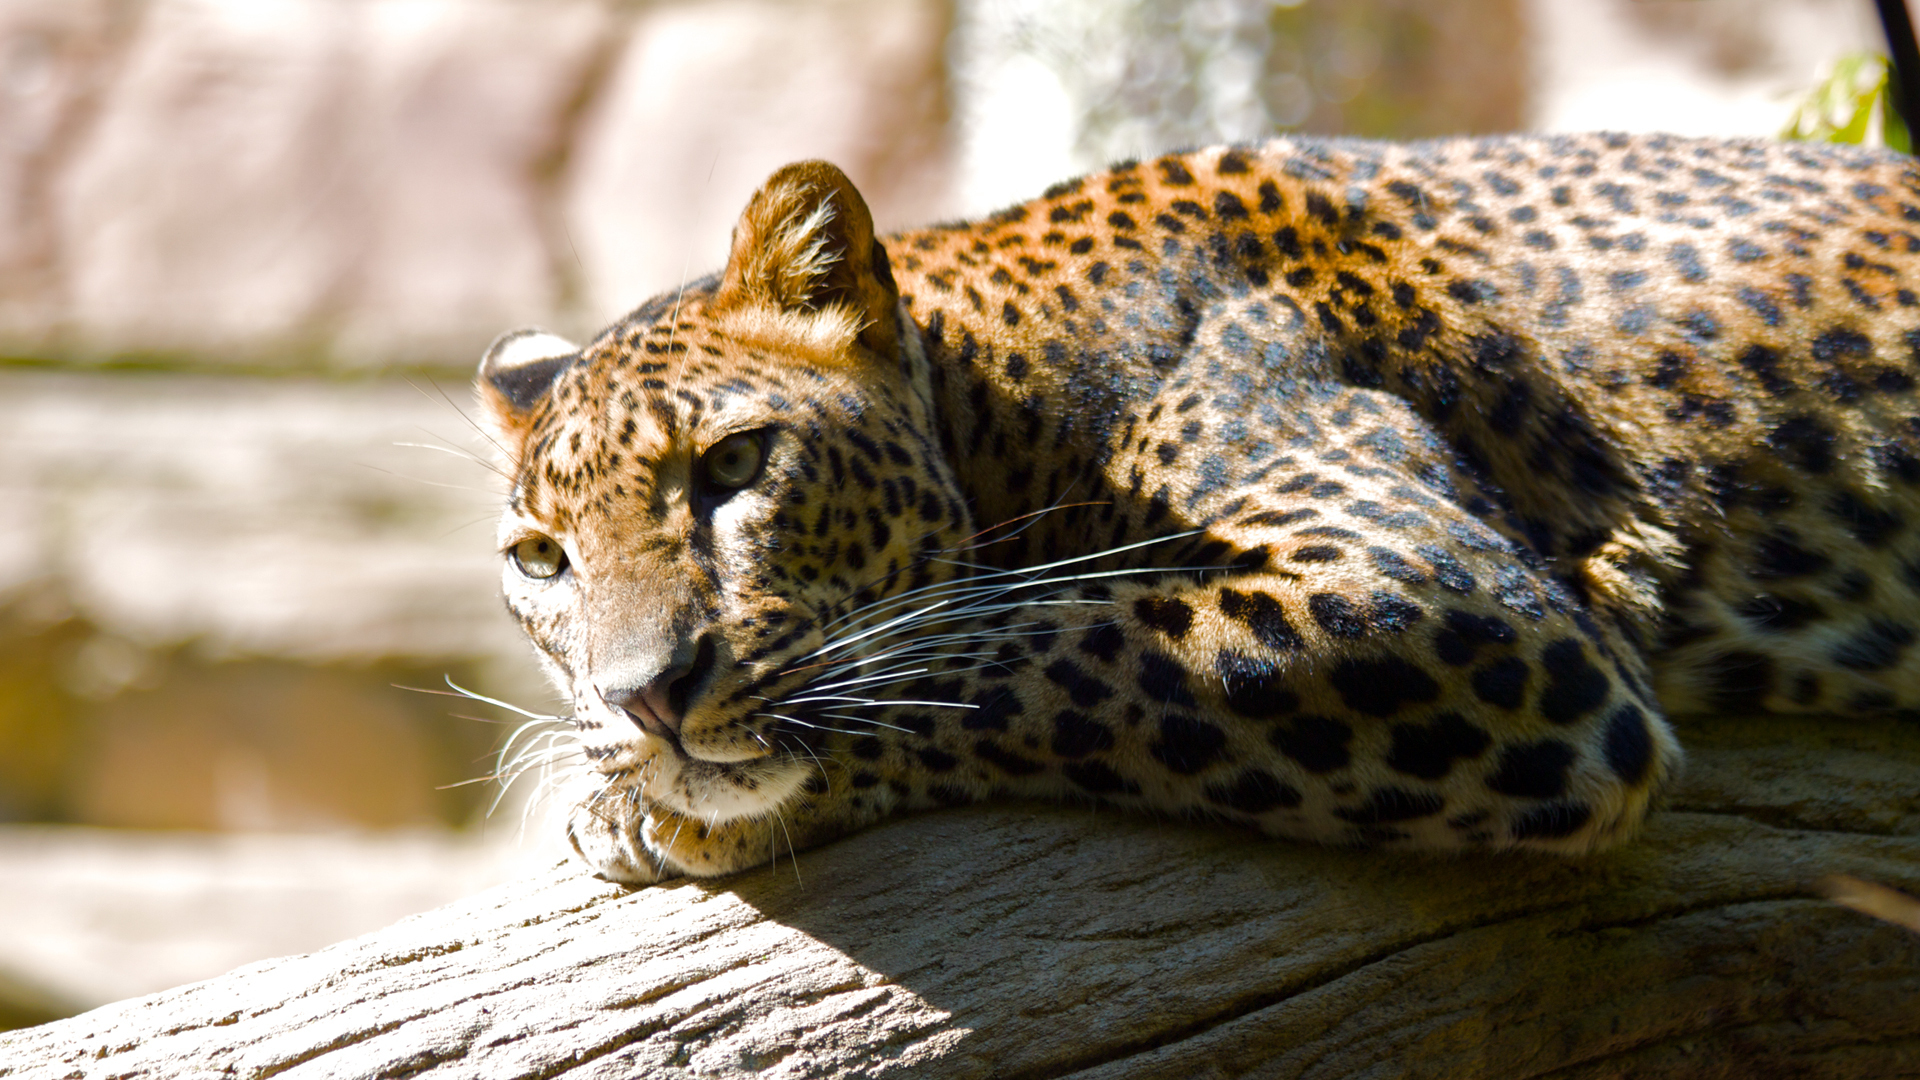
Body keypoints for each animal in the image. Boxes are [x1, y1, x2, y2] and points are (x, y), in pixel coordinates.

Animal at [472, 130, 1920, 880]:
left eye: (734, 467)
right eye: (541, 560)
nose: (643, 700)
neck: (1008, 395)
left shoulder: (1441, 596)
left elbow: (1046, 646)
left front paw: (650, 806)